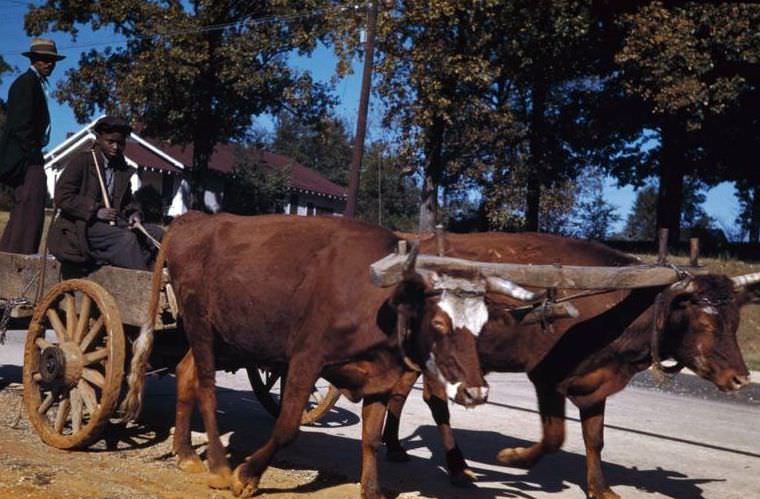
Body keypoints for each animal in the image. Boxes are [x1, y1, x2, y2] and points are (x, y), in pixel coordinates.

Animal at [118, 214, 536, 498]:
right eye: (438, 322)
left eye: (482, 324)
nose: (476, 392)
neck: (376, 301)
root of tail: (196, 218)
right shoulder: (306, 359)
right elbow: (287, 427)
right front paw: (247, 475)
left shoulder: (379, 379)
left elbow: (370, 439)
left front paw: (372, 490)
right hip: (201, 325)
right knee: (205, 386)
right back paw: (220, 466)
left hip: (222, 335)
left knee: (186, 373)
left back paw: (186, 452)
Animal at [380, 231, 754, 499]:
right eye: (705, 324)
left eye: (736, 322)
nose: (741, 378)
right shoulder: (546, 376)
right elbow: (555, 436)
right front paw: (513, 458)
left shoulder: (595, 382)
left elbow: (595, 438)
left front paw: (601, 489)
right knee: (435, 402)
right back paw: (458, 468)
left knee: (399, 391)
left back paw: (395, 447)